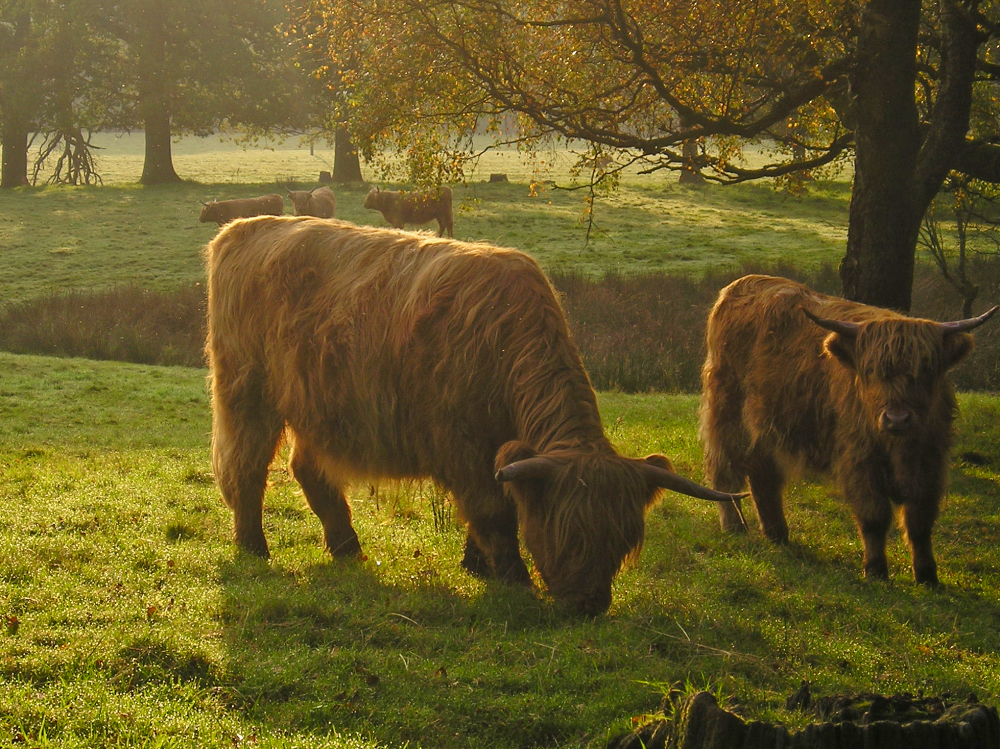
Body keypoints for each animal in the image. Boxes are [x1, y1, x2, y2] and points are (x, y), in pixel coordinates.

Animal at [206, 215, 740, 614]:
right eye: (568, 533)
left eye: (624, 539)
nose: (588, 604)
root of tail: (242, 228)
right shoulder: (460, 445)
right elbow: (492, 511)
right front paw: (514, 579)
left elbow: (497, 505)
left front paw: (477, 565)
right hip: (246, 390)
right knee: (246, 467)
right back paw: (253, 548)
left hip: (317, 405)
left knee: (309, 470)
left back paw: (348, 549)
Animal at [699, 274, 998, 585]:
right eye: (870, 371)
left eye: (925, 370)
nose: (897, 419)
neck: (900, 449)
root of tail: (741, 284)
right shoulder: (860, 460)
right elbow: (874, 516)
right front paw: (876, 571)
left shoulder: (931, 464)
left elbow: (920, 522)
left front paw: (927, 576)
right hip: (726, 413)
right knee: (723, 471)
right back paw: (734, 526)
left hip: (764, 424)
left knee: (763, 476)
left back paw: (777, 534)